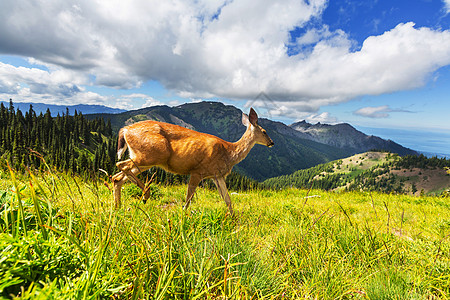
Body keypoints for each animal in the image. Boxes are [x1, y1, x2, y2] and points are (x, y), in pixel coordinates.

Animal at [112, 108, 274, 216]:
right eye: (264, 131)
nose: (271, 142)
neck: (229, 153)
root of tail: (125, 130)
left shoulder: (217, 175)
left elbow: (227, 199)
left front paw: (233, 218)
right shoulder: (197, 171)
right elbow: (188, 199)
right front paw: (183, 216)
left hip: (146, 160)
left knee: (117, 177)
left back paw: (118, 207)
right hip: (149, 156)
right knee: (120, 165)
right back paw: (145, 194)